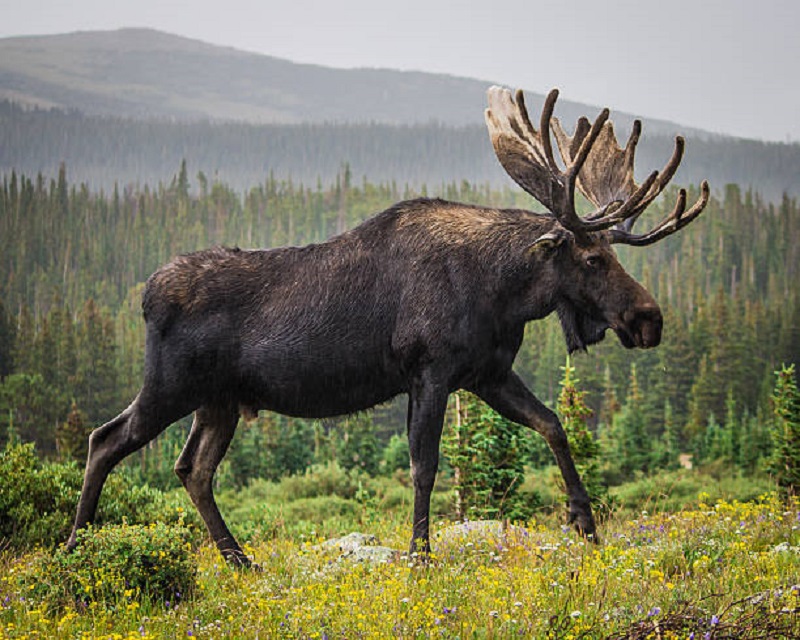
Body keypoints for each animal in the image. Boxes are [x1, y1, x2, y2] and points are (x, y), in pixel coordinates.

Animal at [67, 87, 708, 568]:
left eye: (612, 253)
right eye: (593, 258)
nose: (649, 320)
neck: (502, 293)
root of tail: (146, 294)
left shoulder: (487, 374)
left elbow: (552, 423)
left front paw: (585, 522)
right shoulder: (431, 371)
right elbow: (425, 465)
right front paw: (420, 557)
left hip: (219, 400)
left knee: (192, 469)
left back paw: (240, 560)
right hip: (171, 384)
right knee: (105, 440)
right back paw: (74, 549)